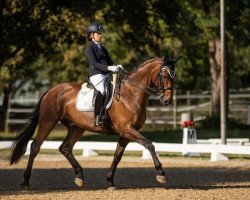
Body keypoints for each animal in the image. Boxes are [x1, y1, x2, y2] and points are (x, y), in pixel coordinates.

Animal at [8, 55, 180, 189]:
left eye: (174, 77)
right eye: (164, 75)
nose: (167, 100)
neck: (131, 94)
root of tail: (50, 91)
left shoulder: (126, 133)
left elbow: (117, 155)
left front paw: (110, 182)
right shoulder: (127, 129)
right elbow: (149, 144)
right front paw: (161, 174)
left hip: (76, 127)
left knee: (65, 148)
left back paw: (79, 177)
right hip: (48, 122)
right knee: (35, 146)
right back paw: (25, 181)